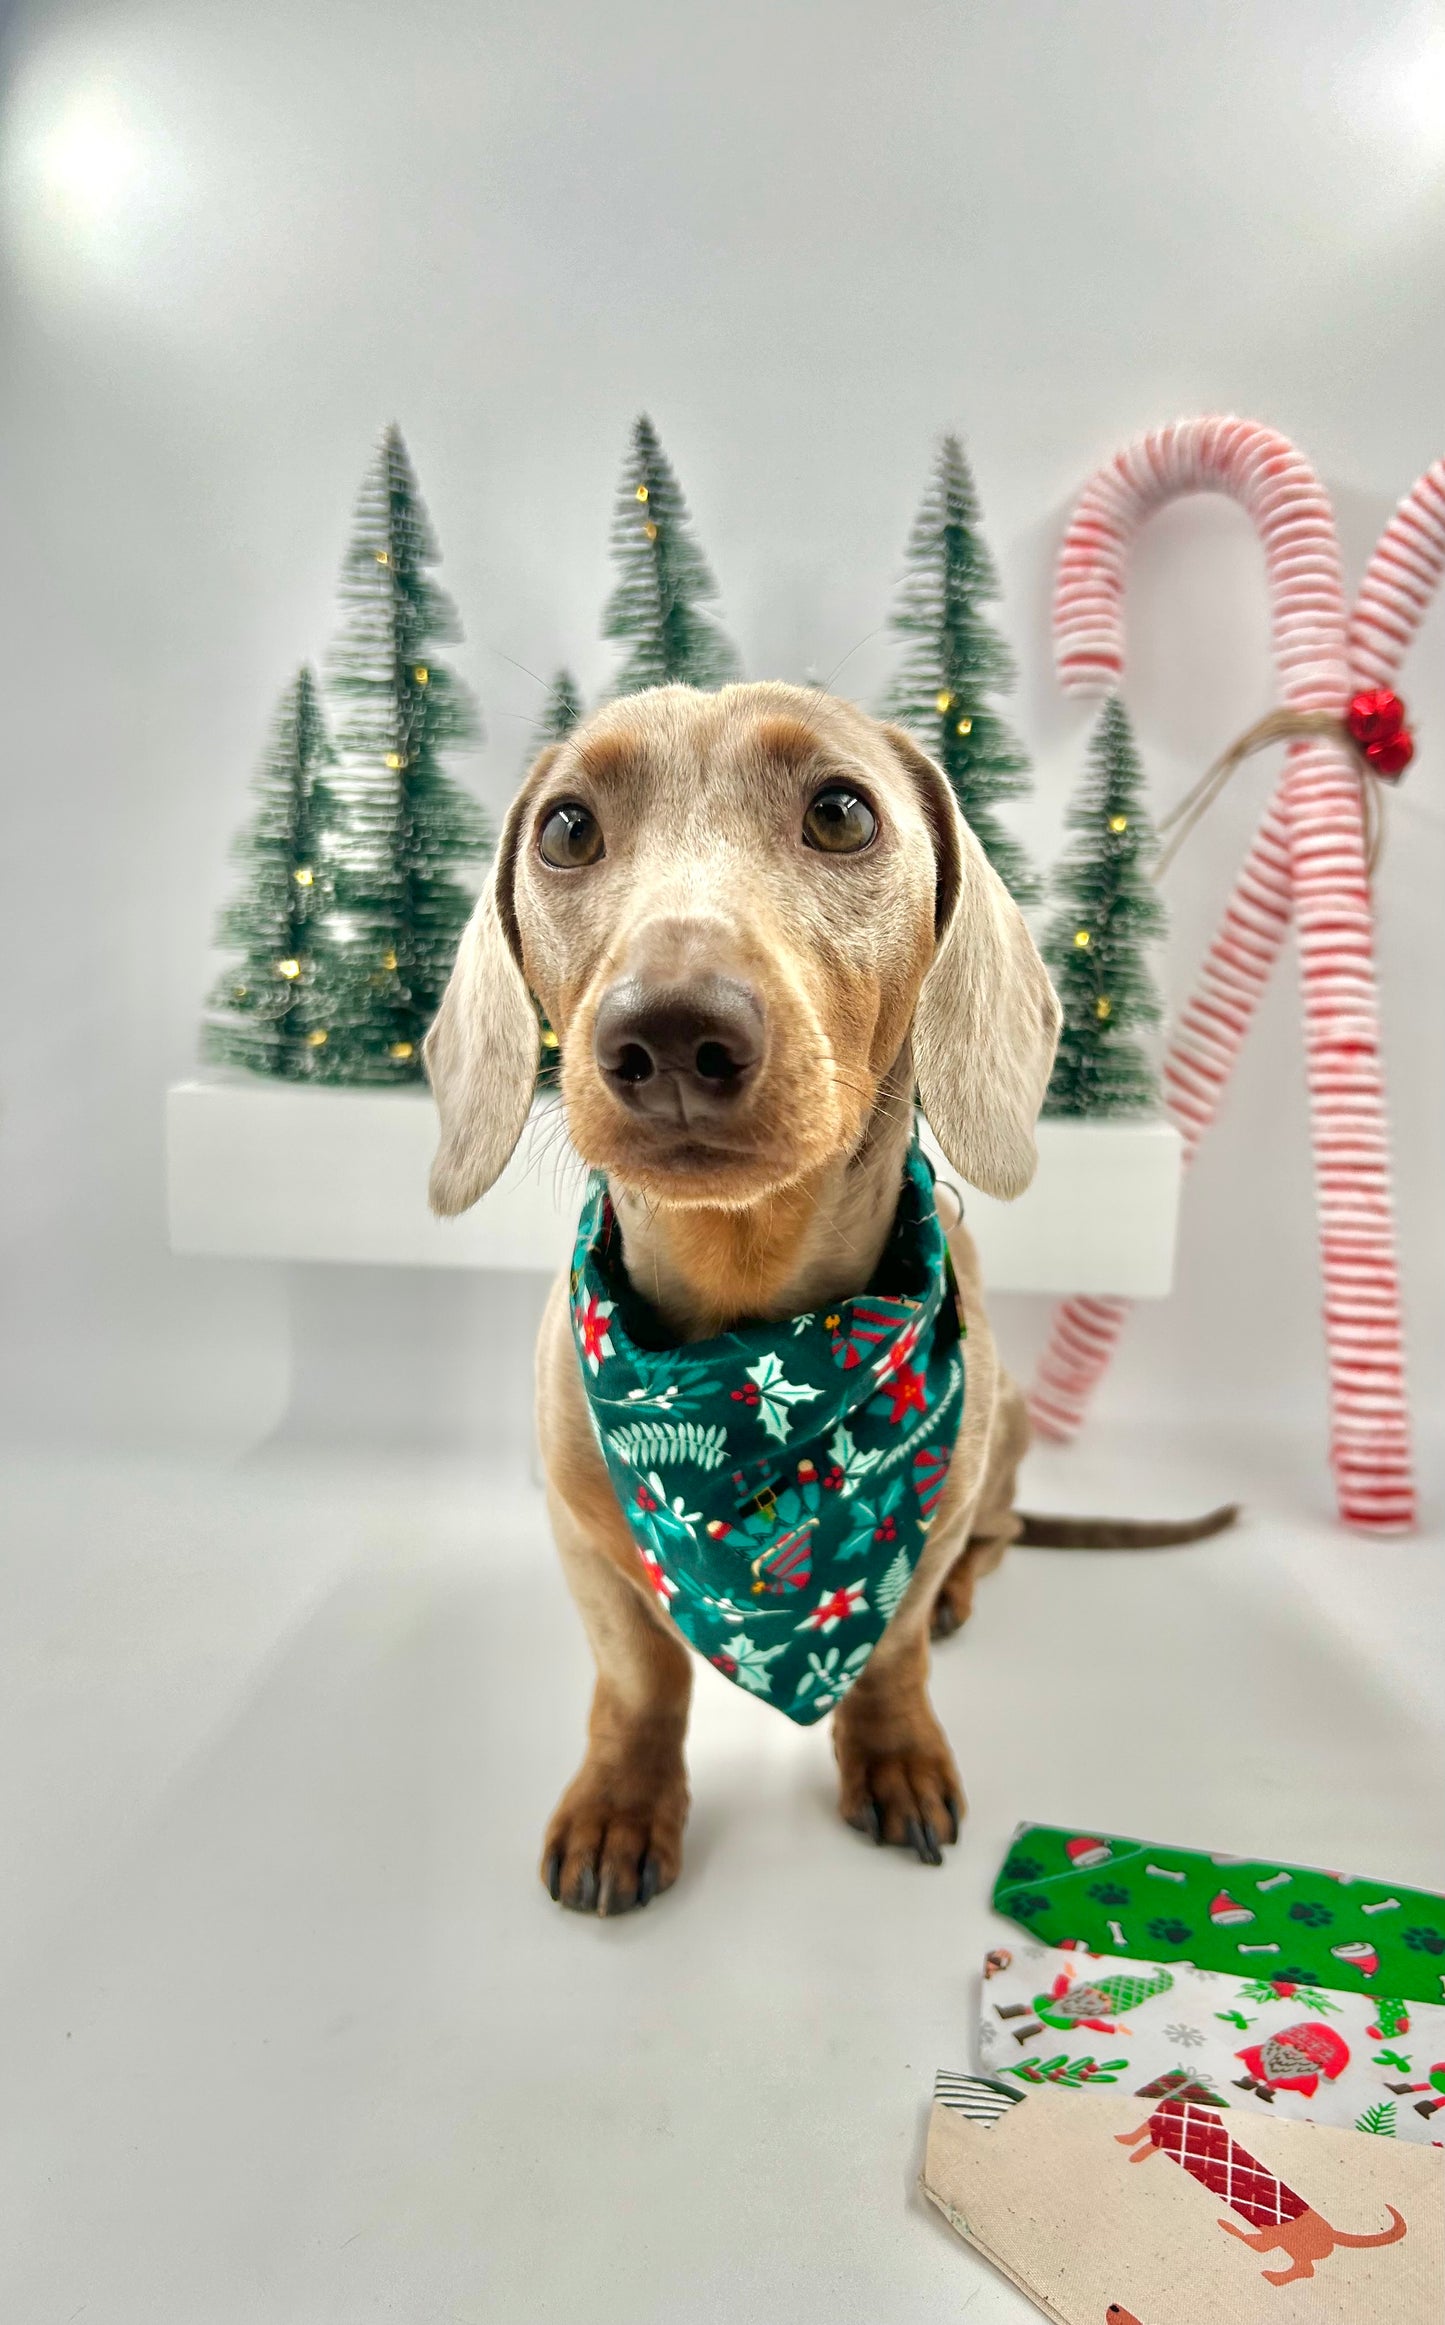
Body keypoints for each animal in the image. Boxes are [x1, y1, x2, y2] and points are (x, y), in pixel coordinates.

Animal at [422, 678, 1064, 1915]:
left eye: (840, 813)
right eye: (565, 829)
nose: (671, 1032)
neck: (751, 1342)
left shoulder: (927, 1518)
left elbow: (894, 1652)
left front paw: (894, 1750)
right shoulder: (580, 1534)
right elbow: (636, 1682)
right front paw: (621, 1807)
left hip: (1006, 1427)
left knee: (997, 1534)